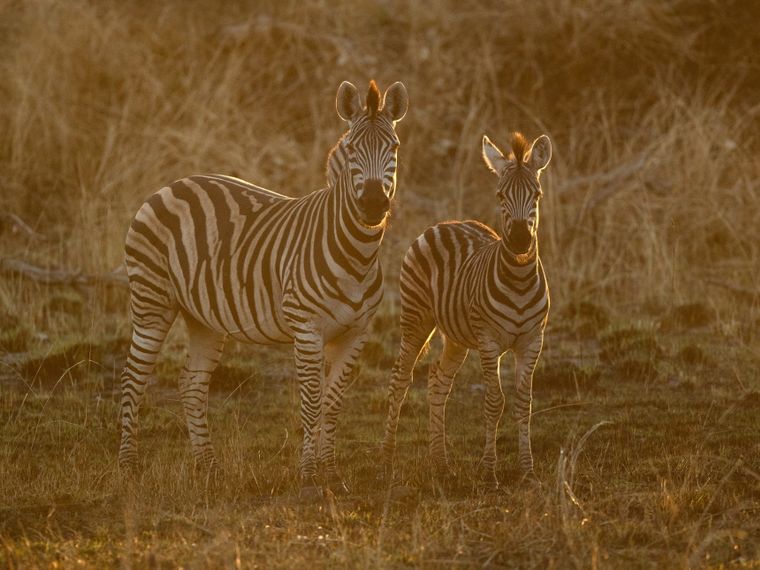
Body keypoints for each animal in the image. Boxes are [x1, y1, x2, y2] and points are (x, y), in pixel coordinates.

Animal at [118, 80, 408, 494]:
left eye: (394, 147)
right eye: (353, 149)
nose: (371, 205)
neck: (358, 254)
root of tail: (169, 185)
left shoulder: (356, 333)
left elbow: (332, 403)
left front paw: (332, 471)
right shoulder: (307, 329)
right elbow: (312, 402)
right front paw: (308, 475)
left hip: (203, 316)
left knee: (191, 383)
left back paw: (209, 467)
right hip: (151, 302)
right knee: (133, 379)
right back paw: (128, 466)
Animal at [382, 132, 551, 488]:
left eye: (537, 194)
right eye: (500, 195)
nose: (518, 242)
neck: (519, 279)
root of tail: (445, 223)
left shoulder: (533, 341)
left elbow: (524, 403)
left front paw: (528, 473)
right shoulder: (489, 342)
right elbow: (494, 402)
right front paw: (489, 473)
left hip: (456, 336)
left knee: (437, 379)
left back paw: (440, 463)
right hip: (416, 319)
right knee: (400, 379)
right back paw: (386, 461)